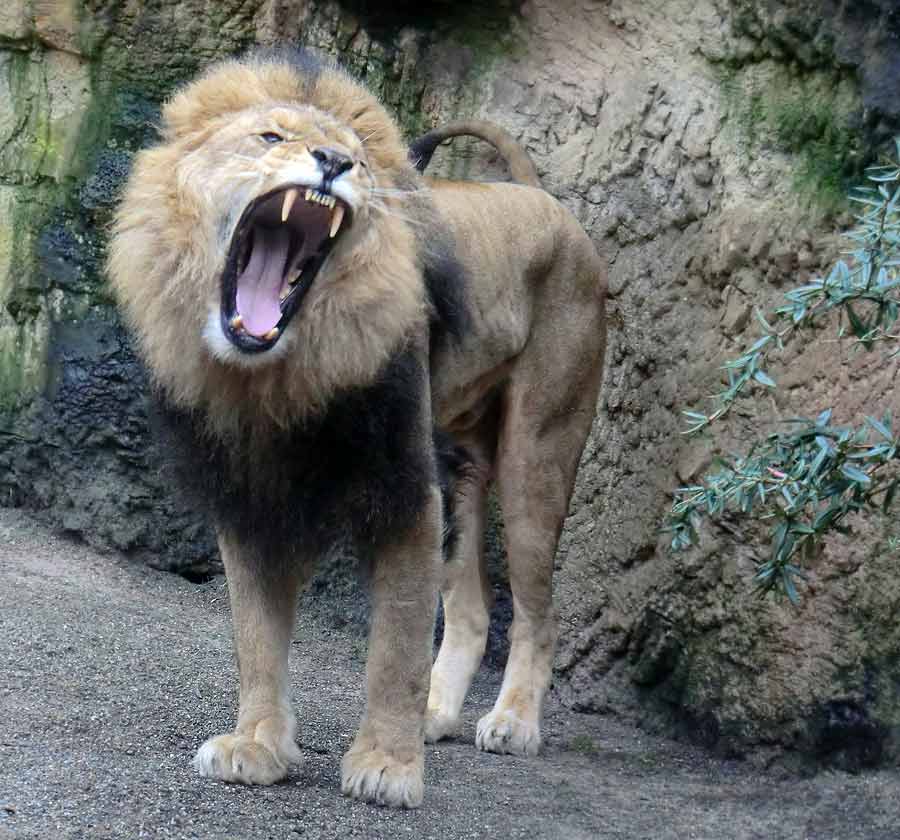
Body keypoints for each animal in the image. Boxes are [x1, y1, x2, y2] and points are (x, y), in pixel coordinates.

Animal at [109, 49, 608, 812]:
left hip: (538, 453)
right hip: (460, 460)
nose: (333, 161)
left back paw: (512, 722)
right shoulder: (250, 497)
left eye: (360, 160)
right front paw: (257, 745)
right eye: (271, 136)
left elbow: (395, 647)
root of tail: (542, 199)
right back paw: (438, 713)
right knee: (471, 608)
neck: (276, 373)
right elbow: (257, 635)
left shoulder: (406, 490)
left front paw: (387, 767)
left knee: (536, 610)